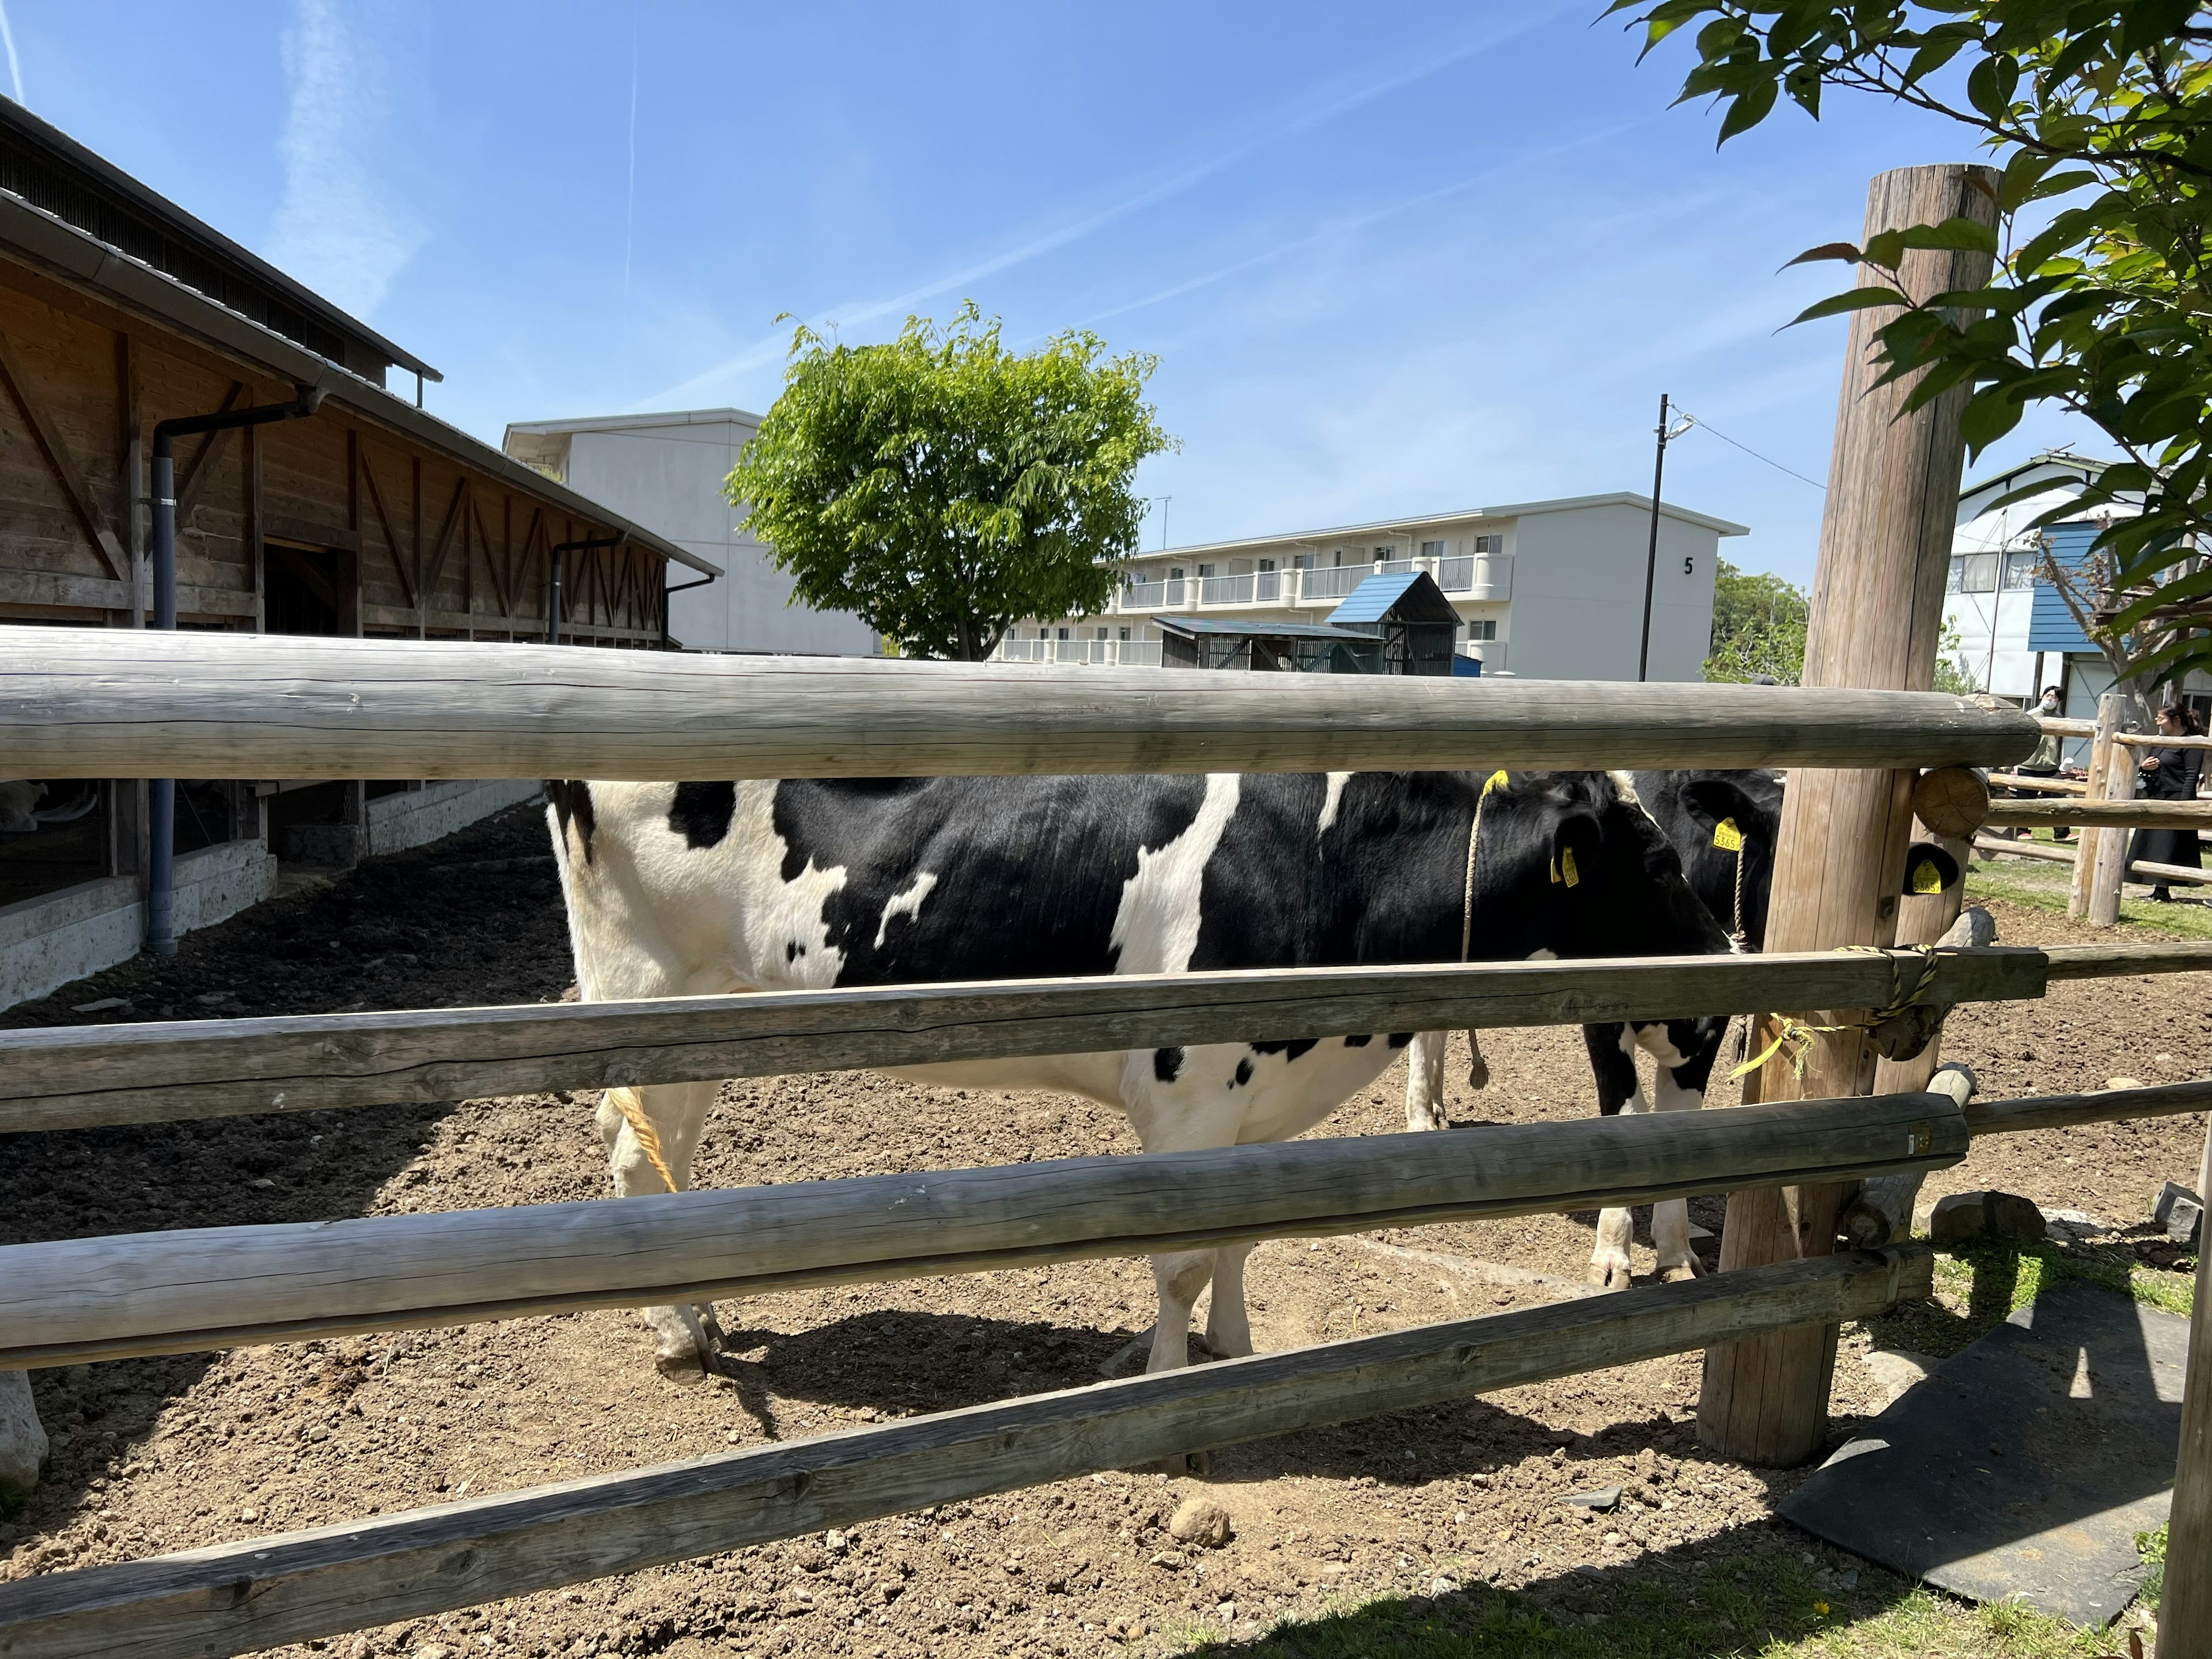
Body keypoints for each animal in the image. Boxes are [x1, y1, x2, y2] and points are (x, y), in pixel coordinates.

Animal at [548, 774, 1725, 1380]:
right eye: (1662, 865)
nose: (1721, 979)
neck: (1321, 864)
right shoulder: (1187, 1096)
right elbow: (1180, 1265)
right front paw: (1167, 1388)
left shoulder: (1254, 1108)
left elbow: (1241, 1244)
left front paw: (1237, 1353)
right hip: (648, 993)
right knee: (634, 1160)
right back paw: (679, 1342)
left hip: (713, 1019)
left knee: (669, 1158)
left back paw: (701, 1319)